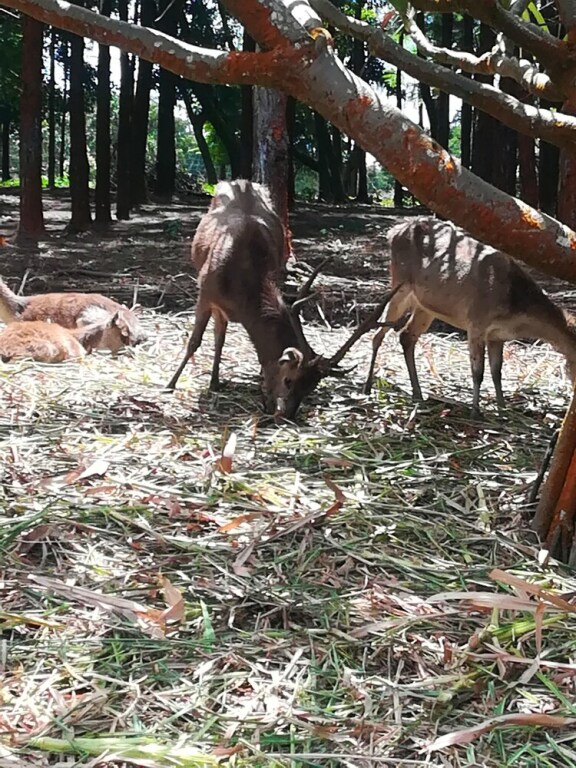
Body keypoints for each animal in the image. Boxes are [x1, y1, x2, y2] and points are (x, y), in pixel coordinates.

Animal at [167, 179, 400, 420]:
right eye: (288, 380)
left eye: (310, 388)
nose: (286, 415)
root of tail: (240, 181)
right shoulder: (205, 292)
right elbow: (194, 341)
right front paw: (170, 384)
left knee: (219, 336)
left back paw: (215, 381)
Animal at [364, 217, 576, 416]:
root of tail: (393, 232)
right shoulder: (476, 322)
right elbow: (478, 371)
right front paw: (476, 411)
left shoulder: (497, 336)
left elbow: (497, 371)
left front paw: (502, 408)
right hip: (399, 283)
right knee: (378, 333)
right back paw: (367, 387)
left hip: (426, 306)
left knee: (406, 336)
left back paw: (417, 393)